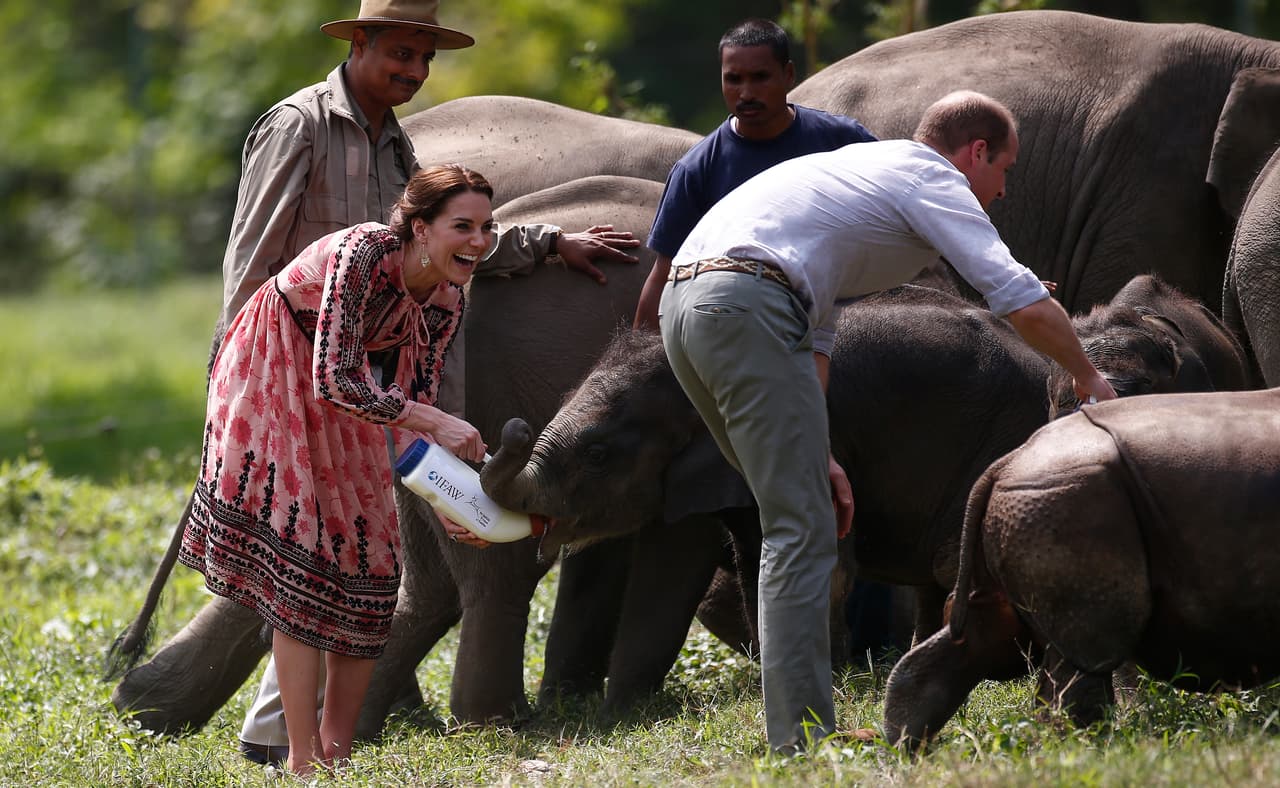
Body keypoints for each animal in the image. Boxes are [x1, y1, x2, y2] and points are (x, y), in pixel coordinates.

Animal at [883, 387, 1280, 748]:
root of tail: (1003, 464)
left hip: (1040, 501)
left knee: (987, 631)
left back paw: (908, 749)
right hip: (1067, 498)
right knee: (1087, 653)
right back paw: (1088, 749)